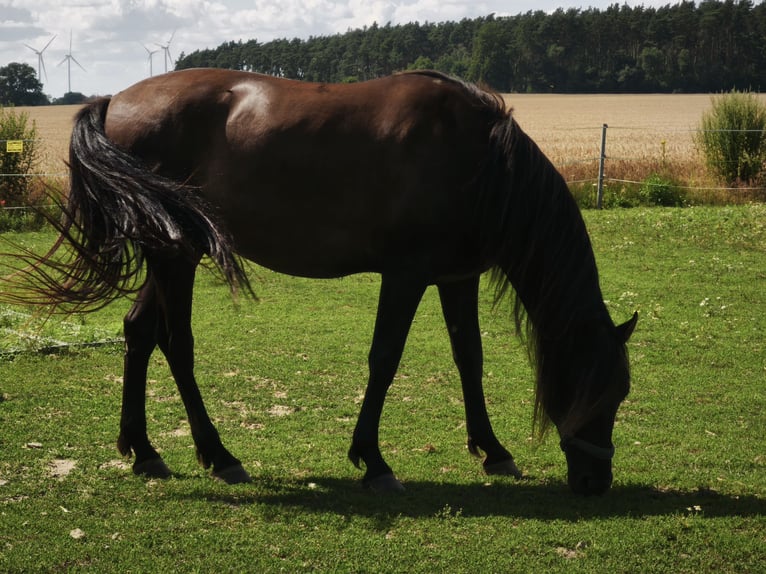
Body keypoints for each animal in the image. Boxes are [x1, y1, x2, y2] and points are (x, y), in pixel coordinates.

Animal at [20, 69, 637, 495]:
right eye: (599, 391)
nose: (595, 483)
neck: (479, 160)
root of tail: (113, 103)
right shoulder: (406, 275)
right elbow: (384, 358)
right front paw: (374, 461)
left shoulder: (454, 277)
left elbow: (470, 358)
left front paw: (492, 450)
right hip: (176, 257)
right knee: (177, 344)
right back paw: (220, 456)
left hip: (175, 252)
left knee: (139, 332)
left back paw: (144, 450)